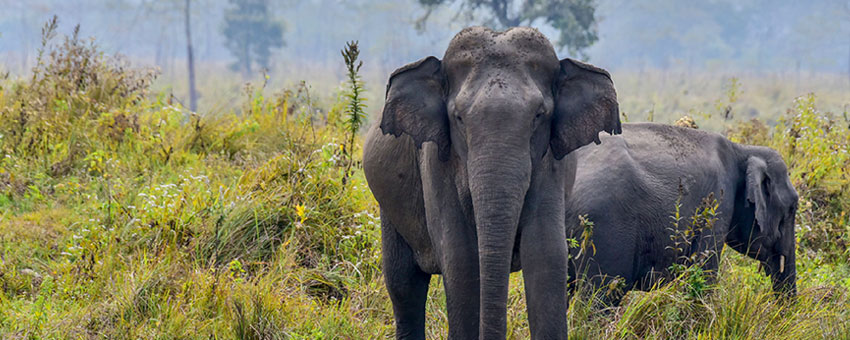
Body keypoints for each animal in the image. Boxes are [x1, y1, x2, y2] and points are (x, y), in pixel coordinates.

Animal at [362, 27, 620, 340]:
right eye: (459, 117)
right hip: (388, 206)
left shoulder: (550, 165)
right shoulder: (436, 164)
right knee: (404, 285)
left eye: (539, 115)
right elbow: (460, 258)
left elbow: (545, 252)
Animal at [564, 122, 796, 302]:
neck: (743, 149)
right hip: (605, 227)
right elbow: (704, 273)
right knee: (600, 296)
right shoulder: (718, 202)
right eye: (792, 208)